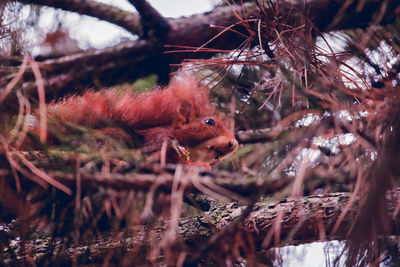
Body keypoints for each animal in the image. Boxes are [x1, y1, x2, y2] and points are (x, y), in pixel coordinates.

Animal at [33, 75, 238, 168]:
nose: (234, 144)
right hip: (110, 138)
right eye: (209, 122)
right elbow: (165, 159)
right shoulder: (158, 139)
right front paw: (197, 166)